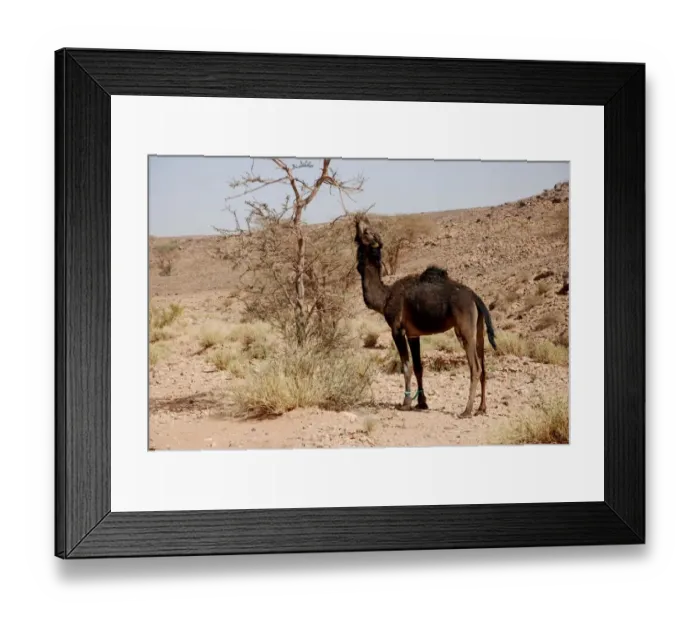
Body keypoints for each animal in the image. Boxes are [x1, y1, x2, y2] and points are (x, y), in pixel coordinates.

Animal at [353, 214, 497, 418]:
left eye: (366, 231)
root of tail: (475, 298)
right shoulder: (414, 334)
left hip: (465, 327)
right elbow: (419, 367)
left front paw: (405, 403)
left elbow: (406, 366)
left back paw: (466, 410)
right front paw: (422, 403)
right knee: (483, 365)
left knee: (475, 367)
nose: (358, 219)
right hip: (478, 327)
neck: (385, 297)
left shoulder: (397, 330)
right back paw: (481, 408)